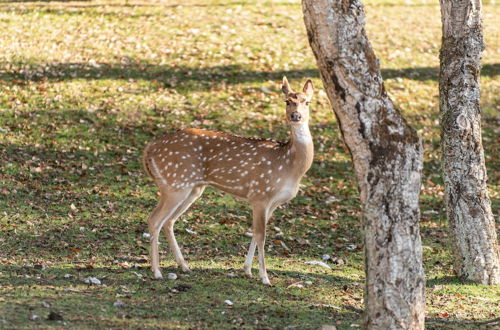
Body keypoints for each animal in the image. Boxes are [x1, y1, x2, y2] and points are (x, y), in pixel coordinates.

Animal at [141, 76, 312, 284]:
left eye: (307, 102)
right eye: (287, 101)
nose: (296, 116)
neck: (290, 166)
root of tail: (148, 149)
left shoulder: (273, 203)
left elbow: (255, 232)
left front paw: (247, 270)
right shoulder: (259, 194)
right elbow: (261, 235)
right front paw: (264, 277)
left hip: (192, 189)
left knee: (169, 221)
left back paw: (184, 266)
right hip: (175, 184)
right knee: (154, 219)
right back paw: (157, 271)